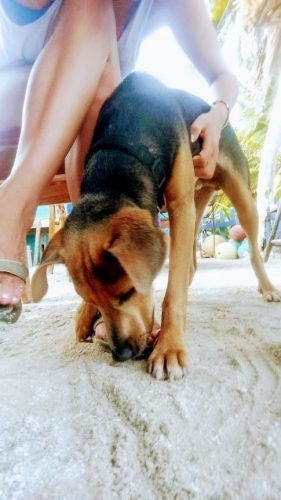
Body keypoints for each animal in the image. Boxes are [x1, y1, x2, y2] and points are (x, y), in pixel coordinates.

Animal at [31, 72, 280, 380]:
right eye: (91, 298)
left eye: (128, 292)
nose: (122, 354)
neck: (124, 142)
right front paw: (85, 315)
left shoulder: (180, 205)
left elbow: (172, 296)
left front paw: (169, 348)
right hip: (196, 202)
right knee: (191, 263)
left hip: (239, 194)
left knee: (254, 250)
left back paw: (268, 287)